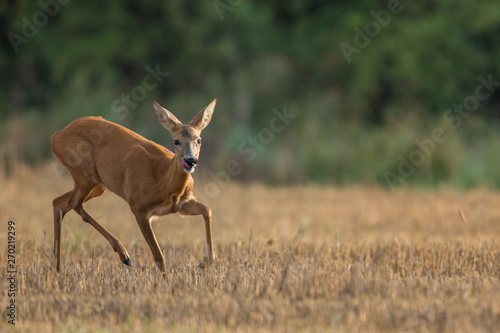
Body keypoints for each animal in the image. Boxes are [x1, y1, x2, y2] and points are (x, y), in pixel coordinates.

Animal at [51, 100, 216, 272]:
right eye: (176, 141)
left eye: (199, 140)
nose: (190, 160)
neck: (165, 183)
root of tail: (56, 136)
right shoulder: (139, 208)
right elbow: (159, 257)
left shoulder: (181, 205)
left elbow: (207, 210)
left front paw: (205, 262)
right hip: (84, 173)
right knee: (74, 203)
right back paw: (124, 255)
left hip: (97, 184)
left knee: (59, 202)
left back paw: (57, 270)